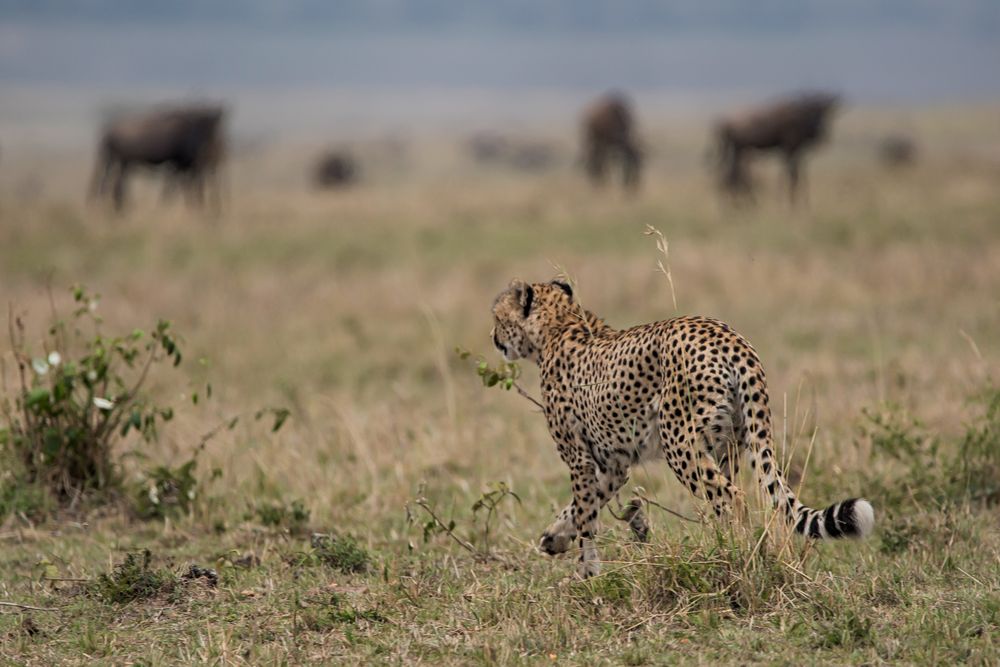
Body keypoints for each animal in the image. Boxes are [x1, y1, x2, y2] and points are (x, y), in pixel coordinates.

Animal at [492, 280, 876, 576]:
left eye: (497, 316)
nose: (494, 337)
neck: (561, 323)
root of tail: (729, 337)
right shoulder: (614, 464)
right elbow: (580, 505)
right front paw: (555, 536)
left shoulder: (581, 458)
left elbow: (586, 514)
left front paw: (586, 574)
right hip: (730, 442)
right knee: (732, 493)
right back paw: (735, 550)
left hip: (680, 442)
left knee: (732, 497)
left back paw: (735, 556)